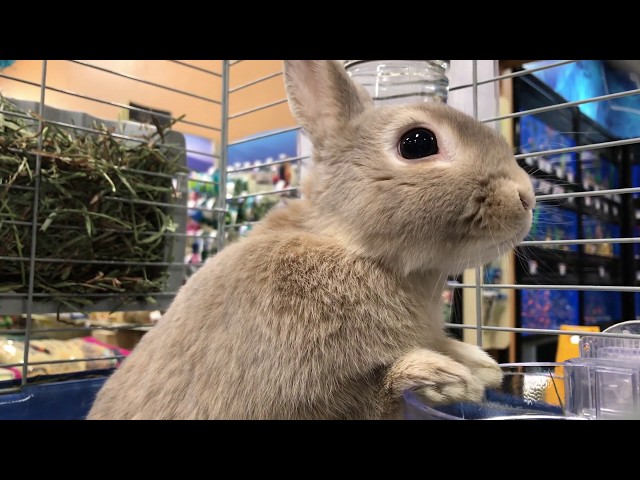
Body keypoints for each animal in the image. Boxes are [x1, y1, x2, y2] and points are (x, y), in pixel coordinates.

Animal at [87, 60, 535, 420]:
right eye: (418, 142)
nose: (526, 196)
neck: (353, 247)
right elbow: (374, 397)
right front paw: (442, 379)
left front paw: (482, 366)